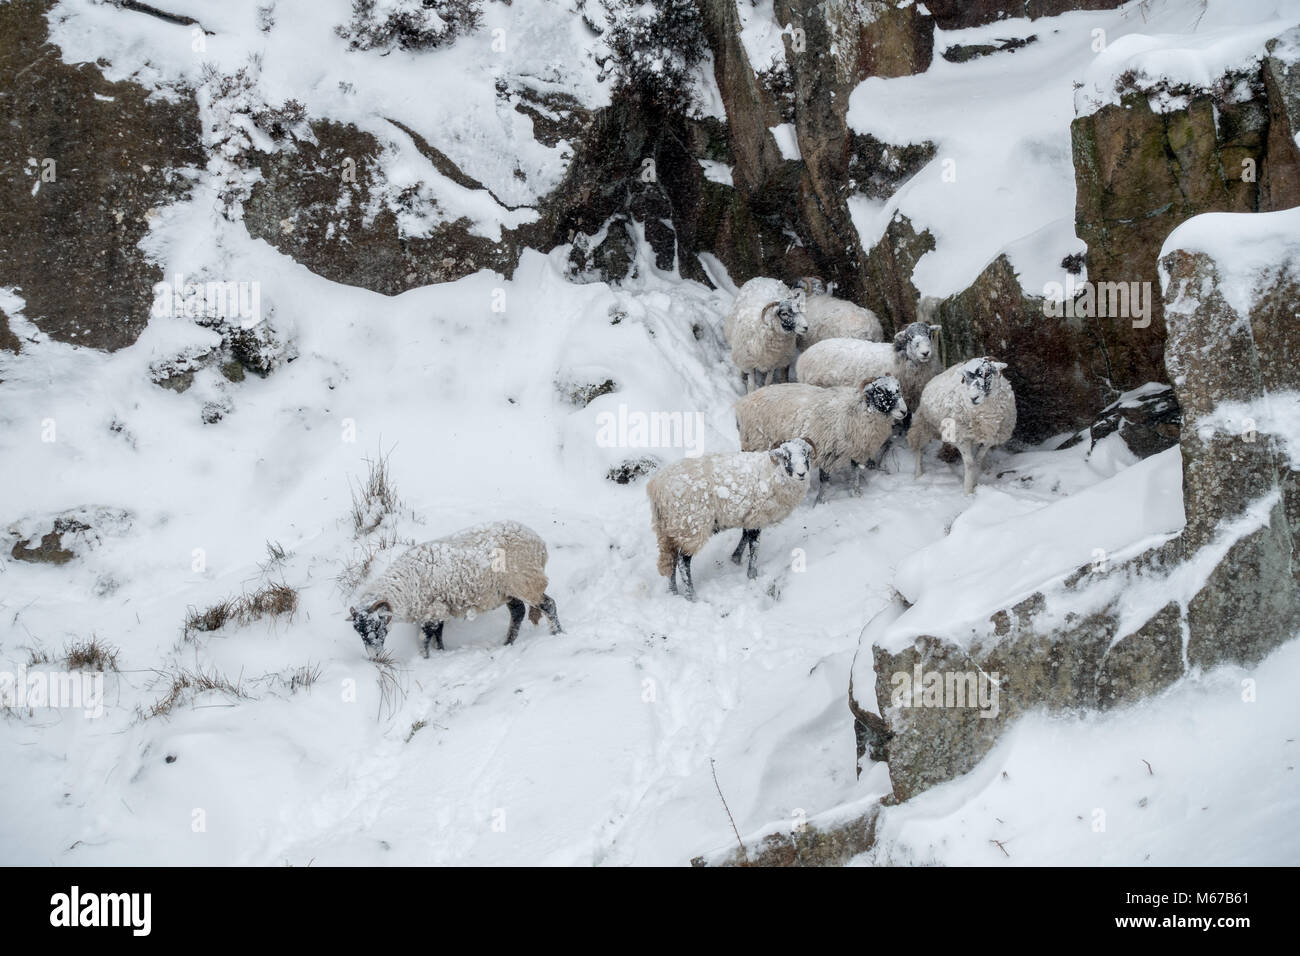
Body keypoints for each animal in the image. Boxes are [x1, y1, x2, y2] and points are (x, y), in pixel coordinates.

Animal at [348, 522, 561, 658]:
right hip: (507, 590)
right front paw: (441, 652)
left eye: (376, 626)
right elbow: (438, 634)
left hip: (526, 582)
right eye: (357, 630)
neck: (406, 585)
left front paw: (425, 657)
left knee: (548, 605)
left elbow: (425, 637)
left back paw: (557, 634)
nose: (374, 657)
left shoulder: (433, 610)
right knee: (518, 612)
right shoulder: (440, 608)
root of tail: (540, 544)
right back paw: (508, 643)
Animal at [647, 439, 811, 598]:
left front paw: (735, 558)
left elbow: (745, 536)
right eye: (786, 457)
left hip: (669, 529)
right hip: (691, 528)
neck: (773, 473)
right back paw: (690, 595)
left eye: (806, 455)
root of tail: (656, 487)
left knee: (670, 561)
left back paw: (673, 592)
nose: (801, 474)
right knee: (683, 561)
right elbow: (754, 546)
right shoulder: (757, 517)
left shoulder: (749, 517)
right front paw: (752, 575)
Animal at [738, 377, 909, 504]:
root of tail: (743, 402)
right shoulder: (827, 452)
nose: (904, 411)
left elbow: (855, 473)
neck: (857, 412)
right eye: (881, 391)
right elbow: (824, 480)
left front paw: (856, 494)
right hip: (755, 442)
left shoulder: (856, 451)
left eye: (898, 389)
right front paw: (820, 502)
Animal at [904, 356, 1013, 496]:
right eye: (965, 378)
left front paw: (975, 482)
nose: (973, 397)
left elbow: (977, 460)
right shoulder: (961, 437)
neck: (984, 415)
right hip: (924, 425)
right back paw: (918, 475)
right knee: (919, 450)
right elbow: (970, 463)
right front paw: (968, 491)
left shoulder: (989, 439)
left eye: (987, 373)